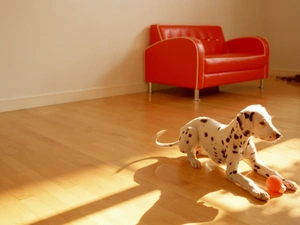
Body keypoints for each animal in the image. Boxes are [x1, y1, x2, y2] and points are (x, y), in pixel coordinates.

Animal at [155, 104, 298, 200]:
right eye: (262, 122)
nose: (279, 135)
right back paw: (194, 161)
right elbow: (248, 181)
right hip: (191, 132)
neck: (243, 142)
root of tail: (186, 125)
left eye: (270, 120)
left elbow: (273, 172)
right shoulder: (232, 172)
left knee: (199, 151)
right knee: (189, 152)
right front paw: (259, 192)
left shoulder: (255, 164)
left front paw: (287, 181)